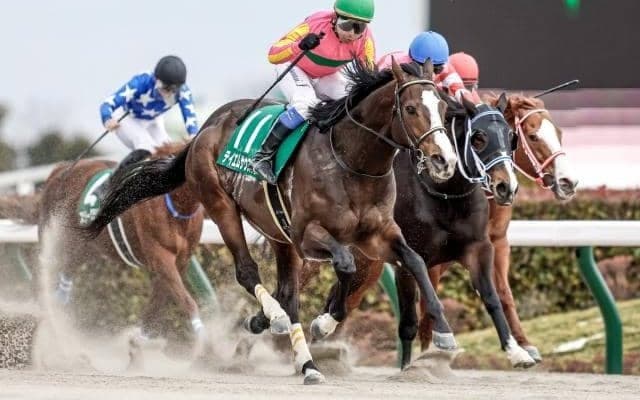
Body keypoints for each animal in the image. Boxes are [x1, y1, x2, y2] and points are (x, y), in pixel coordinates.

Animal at [33, 143, 205, 360]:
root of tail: (61, 169)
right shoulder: (161, 258)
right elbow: (185, 300)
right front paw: (201, 342)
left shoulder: (179, 262)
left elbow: (157, 306)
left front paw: (139, 345)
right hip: (53, 238)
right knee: (44, 276)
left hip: (84, 247)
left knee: (65, 276)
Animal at [82, 58, 461, 384]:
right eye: (410, 109)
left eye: (443, 108)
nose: (444, 161)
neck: (351, 162)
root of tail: (207, 126)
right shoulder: (308, 235)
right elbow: (346, 264)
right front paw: (323, 323)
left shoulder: (378, 233)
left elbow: (414, 261)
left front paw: (444, 333)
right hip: (223, 208)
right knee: (249, 273)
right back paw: (277, 321)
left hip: (277, 233)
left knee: (287, 294)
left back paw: (302, 359)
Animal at [302, 93, 538, 369]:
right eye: (478, 137)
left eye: (511, 137)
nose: (506, 187)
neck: (445, 194)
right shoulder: (408, 258)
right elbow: (408, 323)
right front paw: (409, 367)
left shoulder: (478, 248)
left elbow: (491, 298)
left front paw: (516, 352)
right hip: (364, 258)